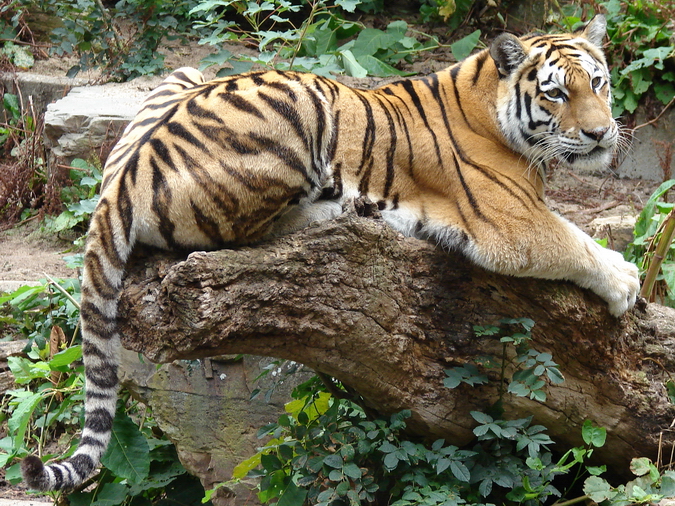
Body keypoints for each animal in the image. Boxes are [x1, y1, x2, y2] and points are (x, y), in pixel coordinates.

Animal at [22, 14, 639, 491]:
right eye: (556, 92)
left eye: (599, 83)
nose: (601, 134)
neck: (493, 104)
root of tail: (119, 181)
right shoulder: (510, 222)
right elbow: (574, 241)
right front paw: (627, 282)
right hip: (300, 106)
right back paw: (338, 211)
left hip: (190, 75)